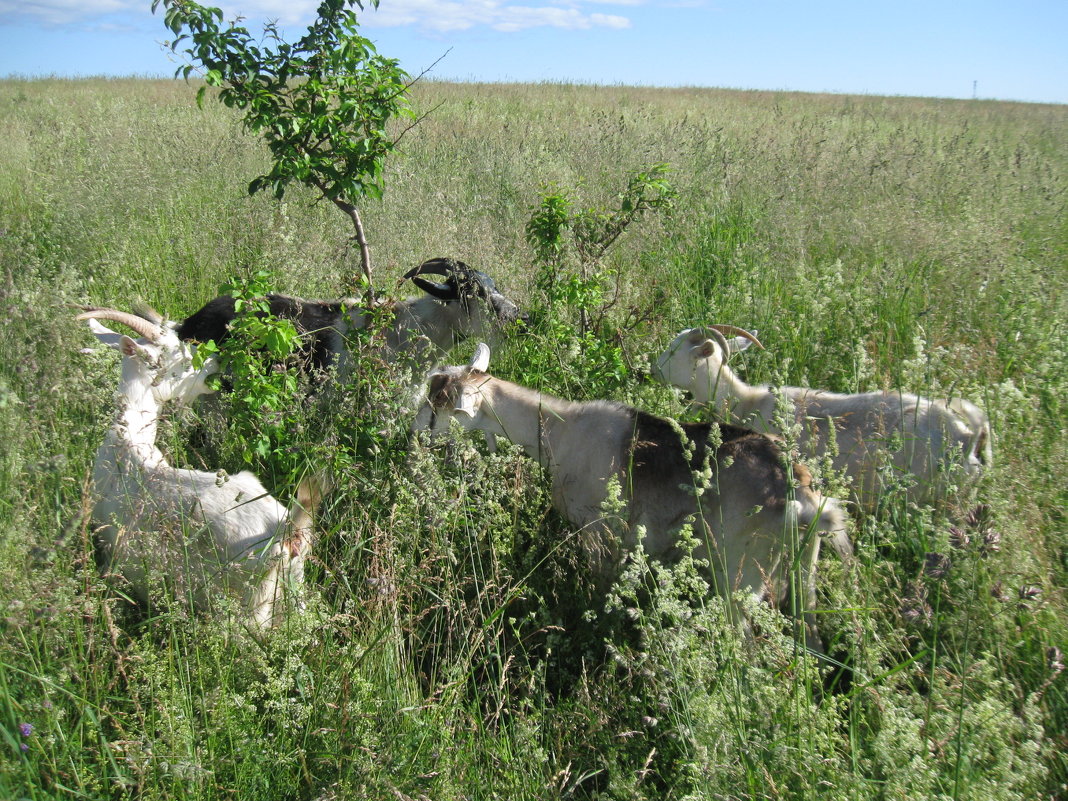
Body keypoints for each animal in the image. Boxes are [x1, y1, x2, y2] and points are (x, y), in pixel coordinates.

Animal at [81, 309, 322, 632]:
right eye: (180, 359)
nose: (216, 361)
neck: (127, 439)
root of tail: (285, 533)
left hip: (248, 610)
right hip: (295, 586)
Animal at [410, 346, 850, 653]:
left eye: (437, 405)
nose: (415, 434)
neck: (560, 430)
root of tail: (798, 491)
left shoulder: (599, 534)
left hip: (741, 576)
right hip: (803, 572)